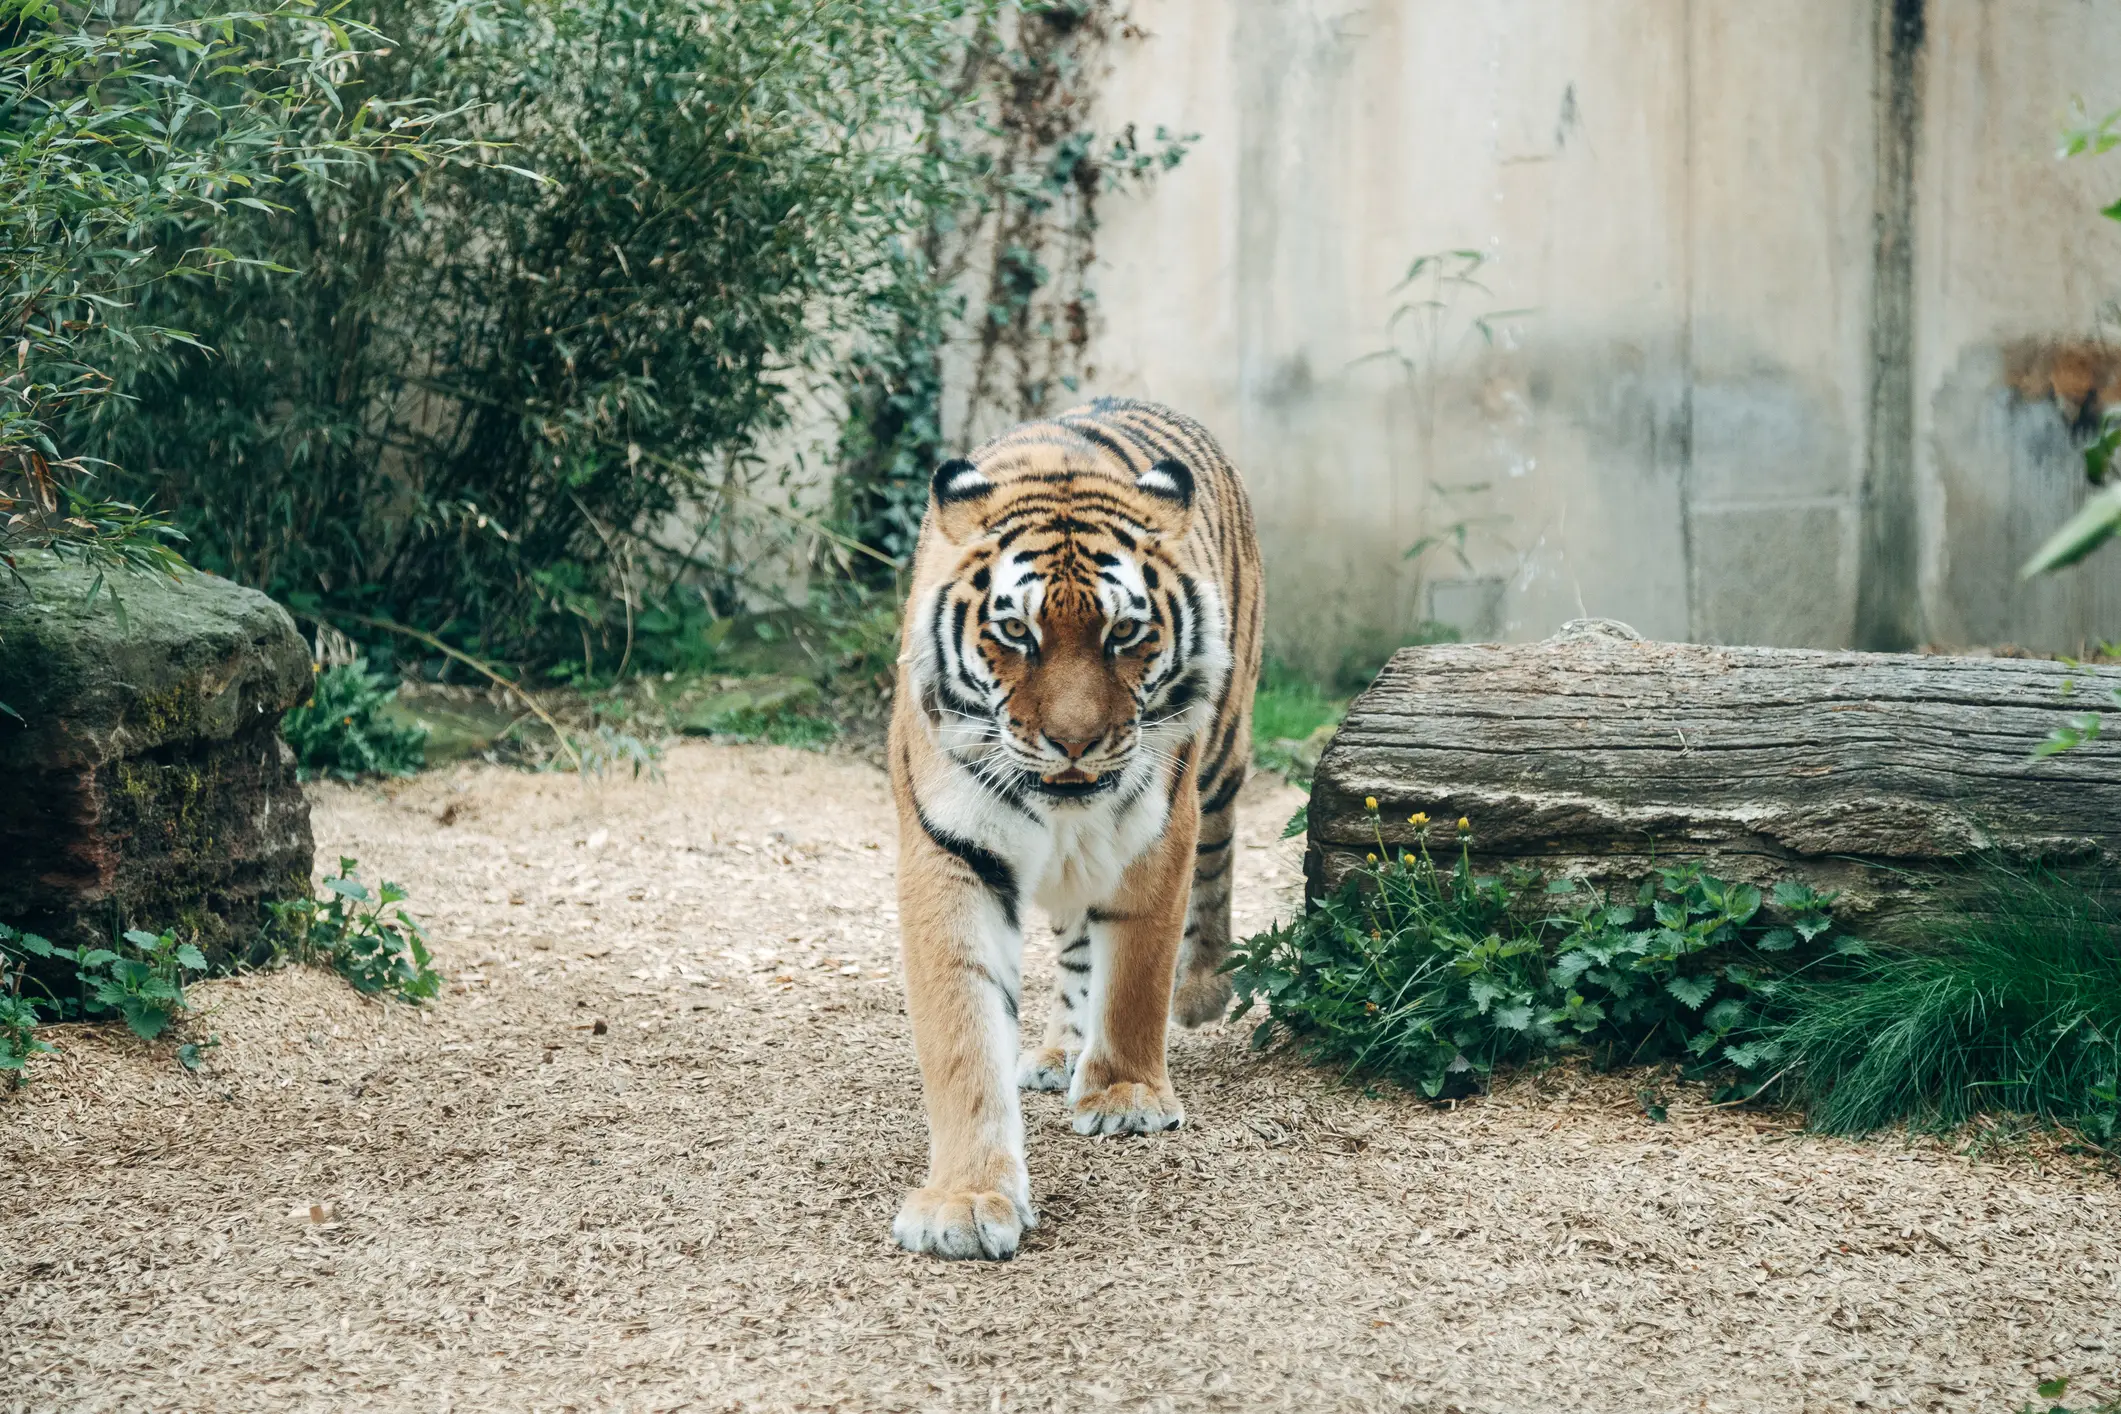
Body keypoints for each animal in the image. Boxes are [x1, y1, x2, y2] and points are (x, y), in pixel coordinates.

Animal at [886, 396, 1263, 1261]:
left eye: (1123, 634)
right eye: (1015, 634)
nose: (1074, 742)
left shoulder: (1157, 831)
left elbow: (1135, 973)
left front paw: (1124, 1094)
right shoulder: (948, 851)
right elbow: (963, 1032)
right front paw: (965, 1199)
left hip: (1222, 749)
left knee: (1220, 851)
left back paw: (1202, 989)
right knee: (1072, 943)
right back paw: (1060, 1049)